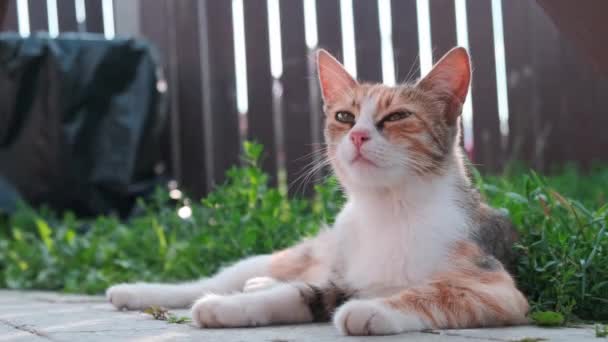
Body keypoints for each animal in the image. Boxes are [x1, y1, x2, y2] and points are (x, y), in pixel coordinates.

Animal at [107, 46, 528, 336]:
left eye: (397, 116)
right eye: (344, 117)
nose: (358, 135)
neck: (389, 208)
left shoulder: (496, 288)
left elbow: (433, 293)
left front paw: (373, 310)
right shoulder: (344, 277)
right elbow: (298, 293)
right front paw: (227, 307)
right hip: (293, 254)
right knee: (214, 280)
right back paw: (135, 291)